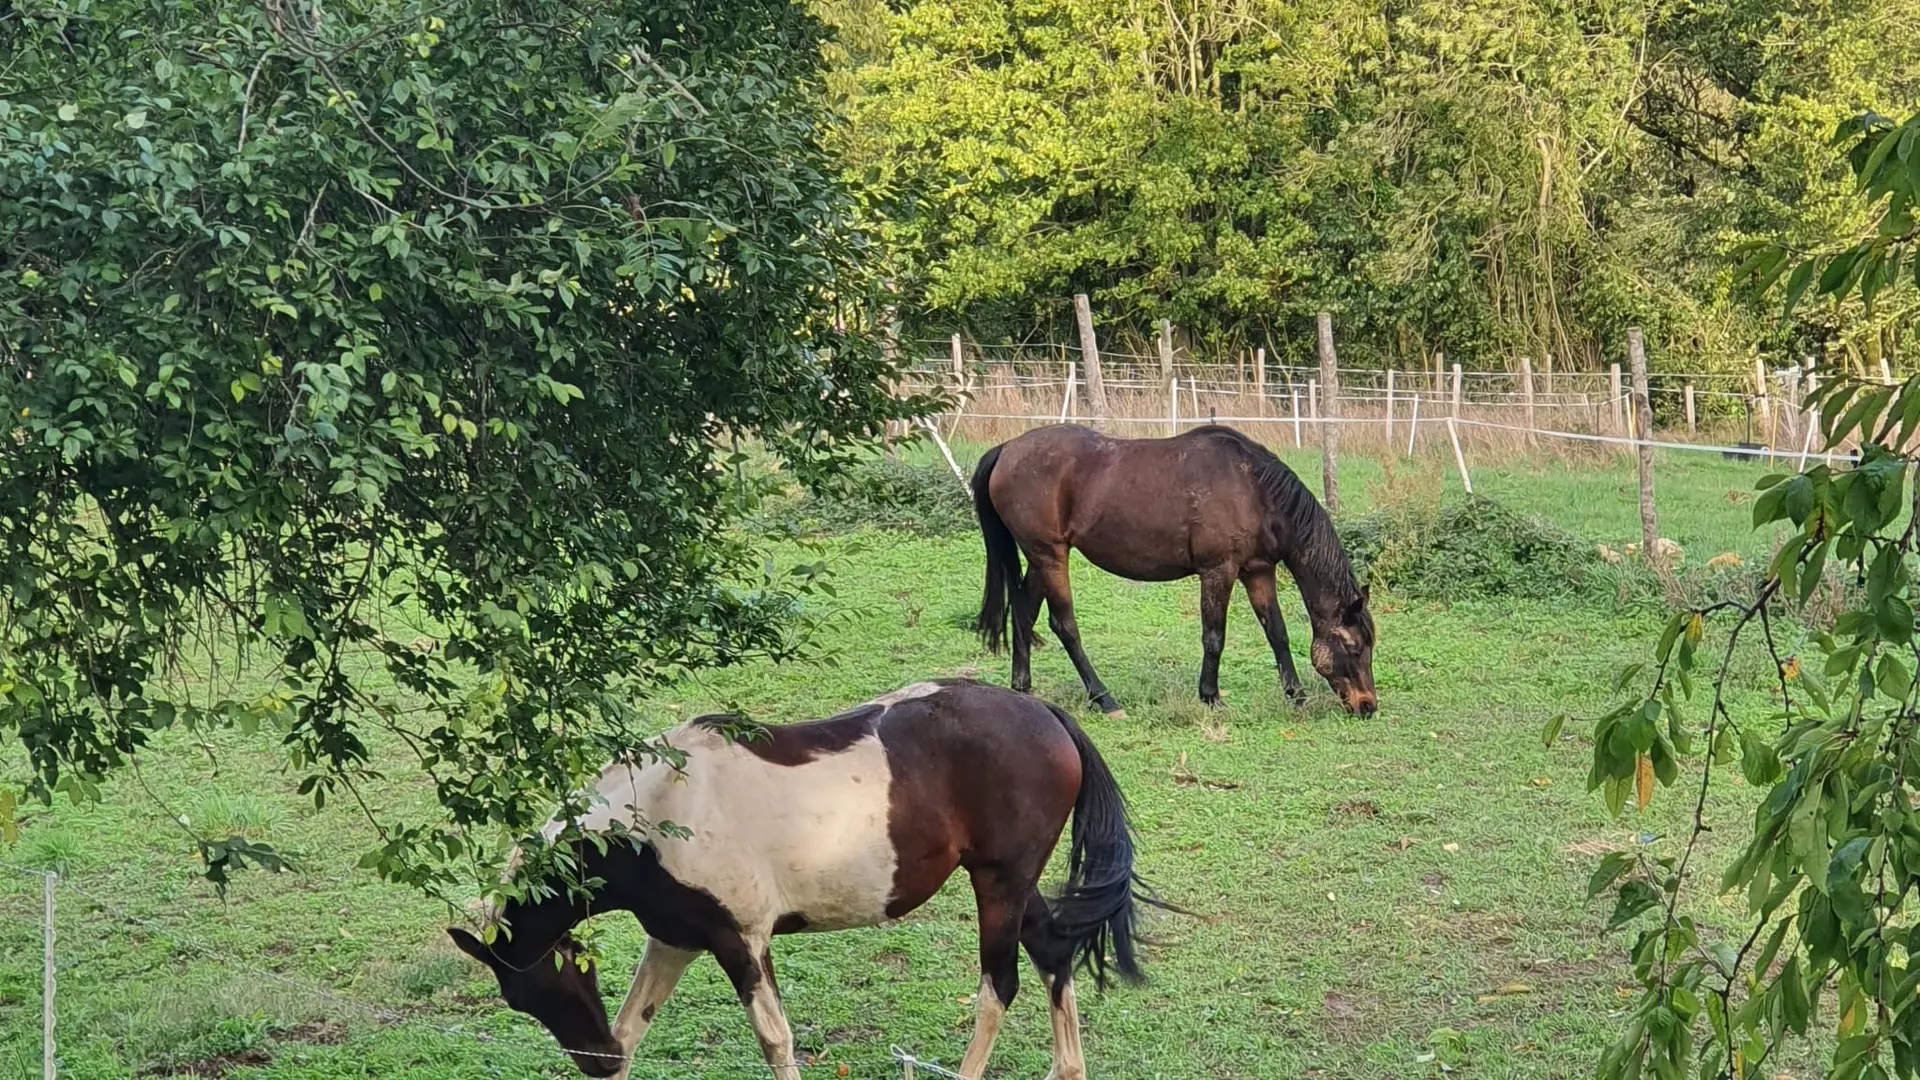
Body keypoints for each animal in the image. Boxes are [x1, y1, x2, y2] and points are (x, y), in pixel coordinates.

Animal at [448, 678, 1162, 1080]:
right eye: (522, 1002)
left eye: (543, 983)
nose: (593, 1063)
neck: (659, 815)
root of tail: (1048, 715)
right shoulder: (674, 940)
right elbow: (633, 1027)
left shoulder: (741, 942)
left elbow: (774, 1039)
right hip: (1014, 885)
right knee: (1053, 954)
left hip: (999, 885)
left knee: (999, 988)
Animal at [971, 423, 1377, 717]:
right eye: (1355, 647)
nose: (1367, 705)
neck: (1253, 490)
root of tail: (1007, 449)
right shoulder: (1218, 571)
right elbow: (1214, 637)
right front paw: (1211, 696)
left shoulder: (1258, 572)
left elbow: (1277, 633)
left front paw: (1296, 694)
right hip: (1050, 556)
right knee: (1064, 626)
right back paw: (1104, 699)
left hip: (1041, 559)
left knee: (1024, 611)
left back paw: (1023, 687)